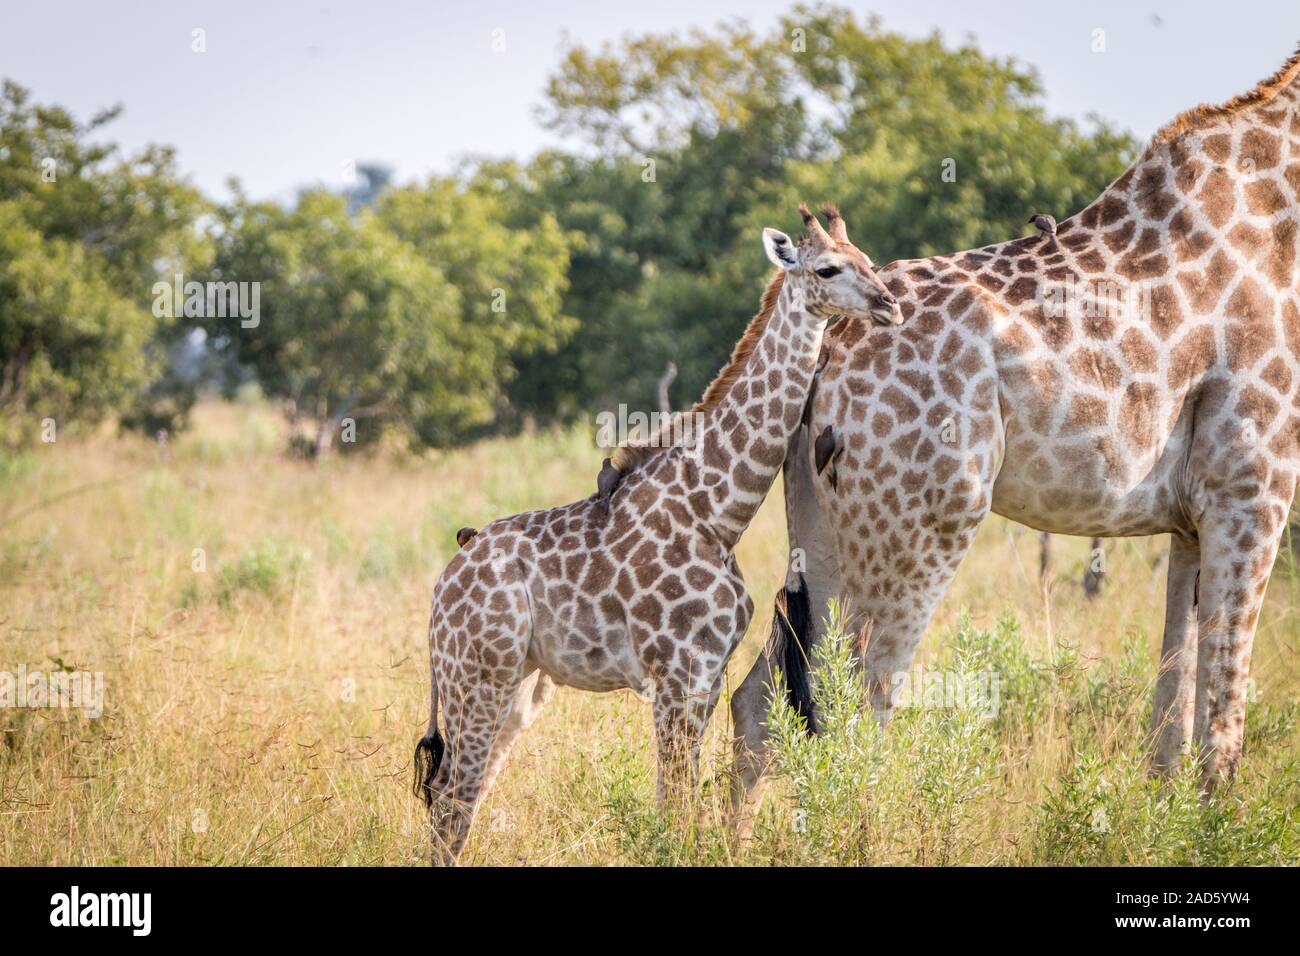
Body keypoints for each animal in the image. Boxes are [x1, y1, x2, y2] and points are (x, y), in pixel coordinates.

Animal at [410, 205, 899, 863]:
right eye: (827, 268)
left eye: (868, 259)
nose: (888, 305)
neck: (717, 507)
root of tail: (442, 586)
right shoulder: (674, 672)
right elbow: (673, 802)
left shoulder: (706, 675)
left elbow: (686, 796)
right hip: (476, 677)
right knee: (452, 796)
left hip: (516, 685)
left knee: (461, 795)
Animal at [733, 46, 1300, 806]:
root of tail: (825, 343)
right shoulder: (1253, 485)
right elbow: (1221, 730)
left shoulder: (1191, 519)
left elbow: (1169, 728)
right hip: (922, 521)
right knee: (857, 708)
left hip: (825, 527)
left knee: (765, 701)